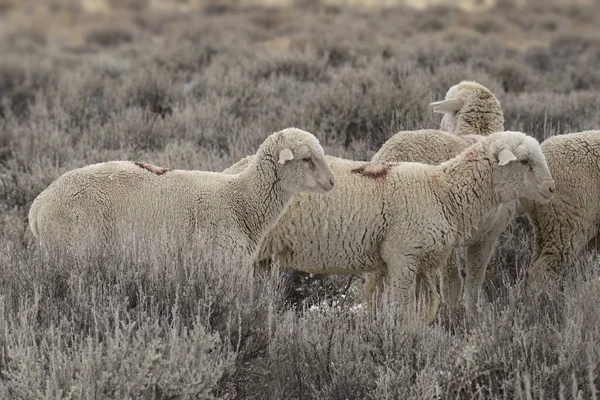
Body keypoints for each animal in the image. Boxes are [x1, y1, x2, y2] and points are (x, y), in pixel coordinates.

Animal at [28, 126, 336, 268]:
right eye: (306, 158)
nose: (332, 182)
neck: (241, 199)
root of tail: (38, 205)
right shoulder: (222, 260)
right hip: (71, 246)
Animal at [223, 131, 556, 322]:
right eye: (525, 162)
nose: (552, 189)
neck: (442, 190)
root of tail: (235, 171)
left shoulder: (421, 262)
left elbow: (426, 308)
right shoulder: (402, 256)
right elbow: (400, 308)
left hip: (264, 259)